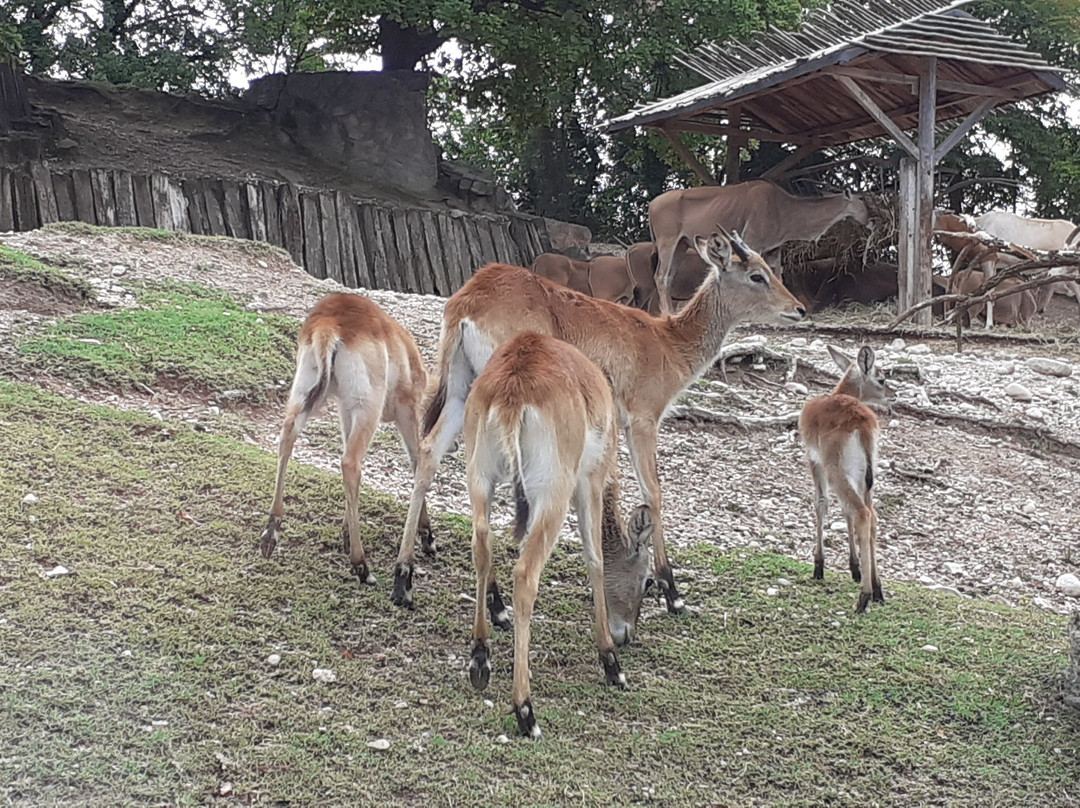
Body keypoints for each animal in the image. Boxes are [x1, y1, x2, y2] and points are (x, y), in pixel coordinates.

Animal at [258, 295, 429, 578]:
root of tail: (329, 323)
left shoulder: (345, 409)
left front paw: (345, 531)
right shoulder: (407, 411)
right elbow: (417, 462)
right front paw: (427, 536)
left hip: (306, 394)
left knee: (287, 436)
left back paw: (272, 531)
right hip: (367, 407)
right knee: (350, 463)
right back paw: (361, 565)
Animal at [388, 226, 803, 613]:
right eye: (757, 274)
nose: (798, 308)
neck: (668, 343)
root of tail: (468, 299)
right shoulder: (642, 420)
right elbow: (652, 491)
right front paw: (671, 591)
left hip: (462, 393)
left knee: (429, 452)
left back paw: (404, 580)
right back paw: (496, 605)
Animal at [462, 330, 648, 734]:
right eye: (648, 580)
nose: (628, 634)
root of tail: (513, 388)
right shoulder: (590, 481)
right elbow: (595, 560)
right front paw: (611, 663)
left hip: (480, 478)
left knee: (481, 547)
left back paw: (480, 659)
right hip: (553, 495)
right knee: (525, 574)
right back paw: (525, 710)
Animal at [799, 343, 889, 613]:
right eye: (881, 378)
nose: (892, 393)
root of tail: (863, 424)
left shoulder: (814, 460)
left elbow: (821, 504)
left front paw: (819, 566)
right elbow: (845, 512)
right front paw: (855, 568)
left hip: (836, 470)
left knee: (861, 513)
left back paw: (863, 598)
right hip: (866, 478)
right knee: (870, 516)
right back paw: (878, 589)